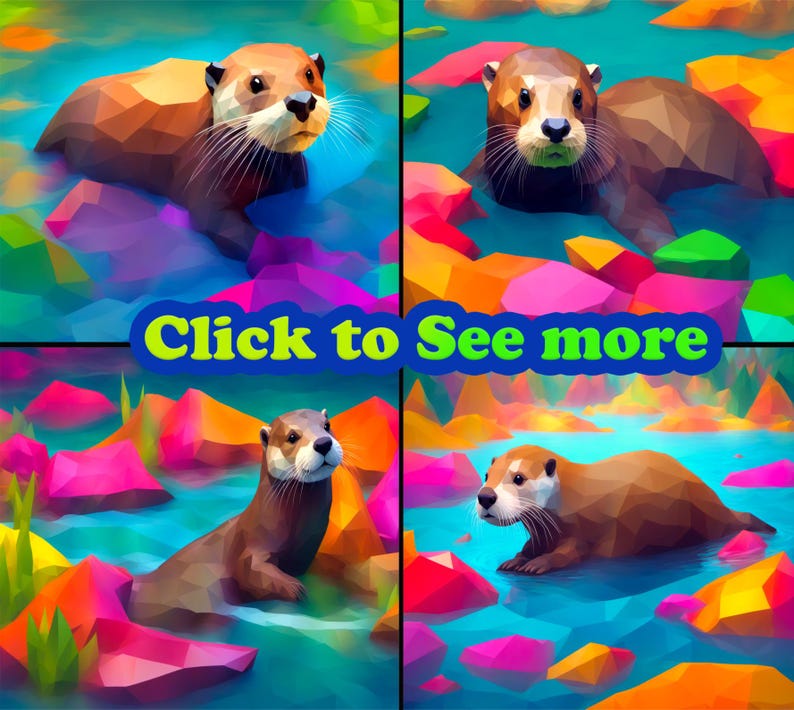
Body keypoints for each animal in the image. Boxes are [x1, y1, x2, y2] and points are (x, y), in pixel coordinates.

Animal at [129, 408, 342, 628]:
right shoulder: (252, 541)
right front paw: (296, 589)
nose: (323, 443)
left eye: (327, 425)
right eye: (292, 437)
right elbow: (250, 571)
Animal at [462, 46, 775, 253]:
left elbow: (651, 227)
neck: (545, 197)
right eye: (524, 96)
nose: (556, 127)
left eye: (578, 96)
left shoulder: (618, 182)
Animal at [476, 445, 775, 575]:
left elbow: (571, 552)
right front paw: (516, 559)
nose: (485, 496)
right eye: (486, 475)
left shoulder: (582, 530)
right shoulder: (543, 532)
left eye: (518, 478)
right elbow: (530, 546)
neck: (568, 497)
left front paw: (537, 563)